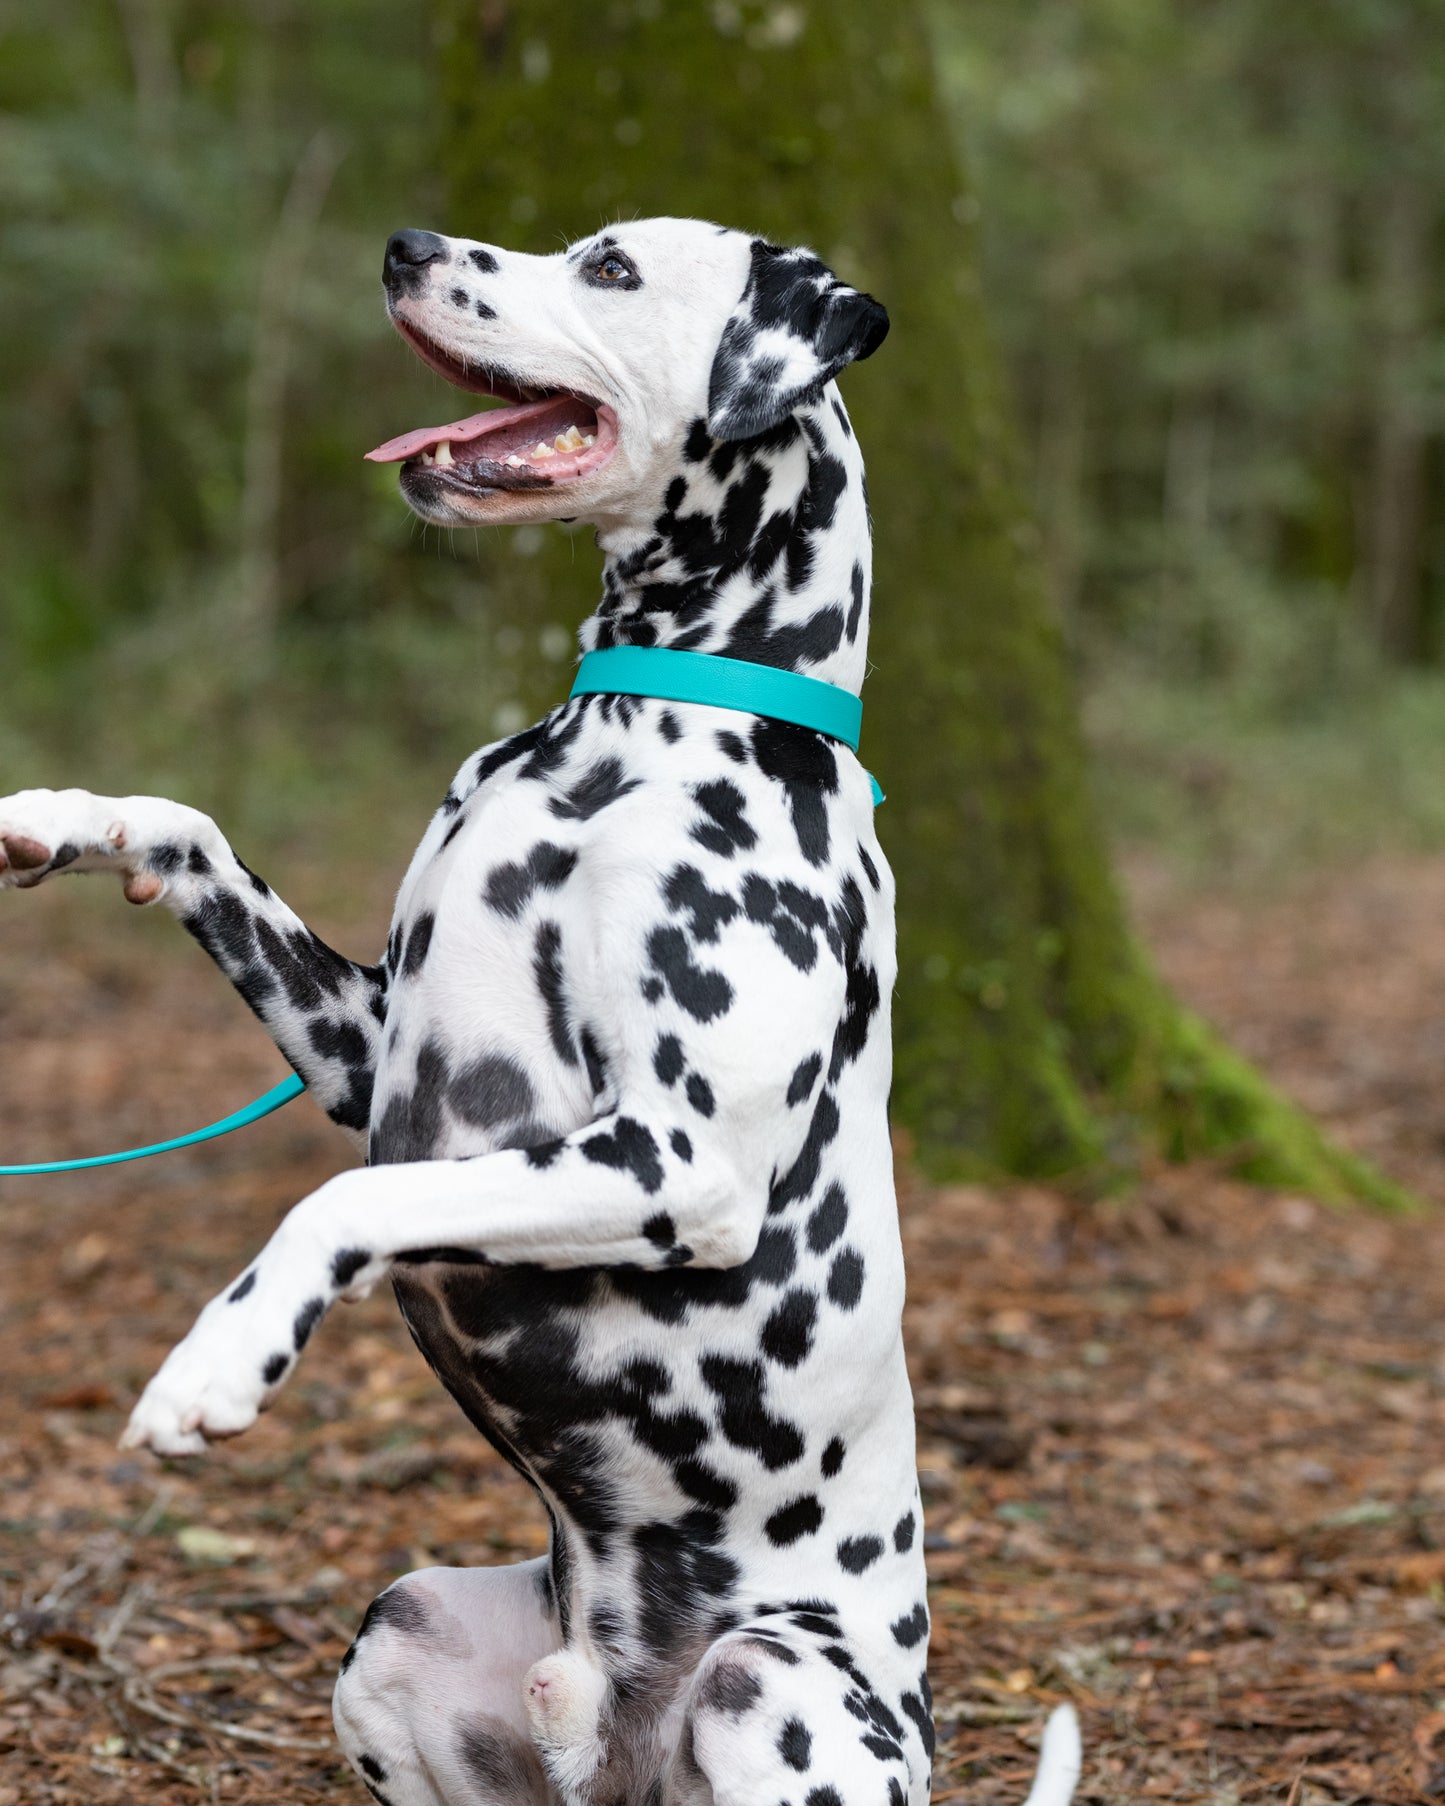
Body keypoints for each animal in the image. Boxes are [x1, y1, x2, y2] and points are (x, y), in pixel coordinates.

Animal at [2, 222, 1083, 1806]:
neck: (635, 731)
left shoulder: (674, 1164)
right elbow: (191, 830)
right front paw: (68, 816)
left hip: (771, 1682)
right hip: (400, 1627)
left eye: (612, 268)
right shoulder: (365, 1045)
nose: (403, 244)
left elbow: (347, 1200)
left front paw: (218, 1362)